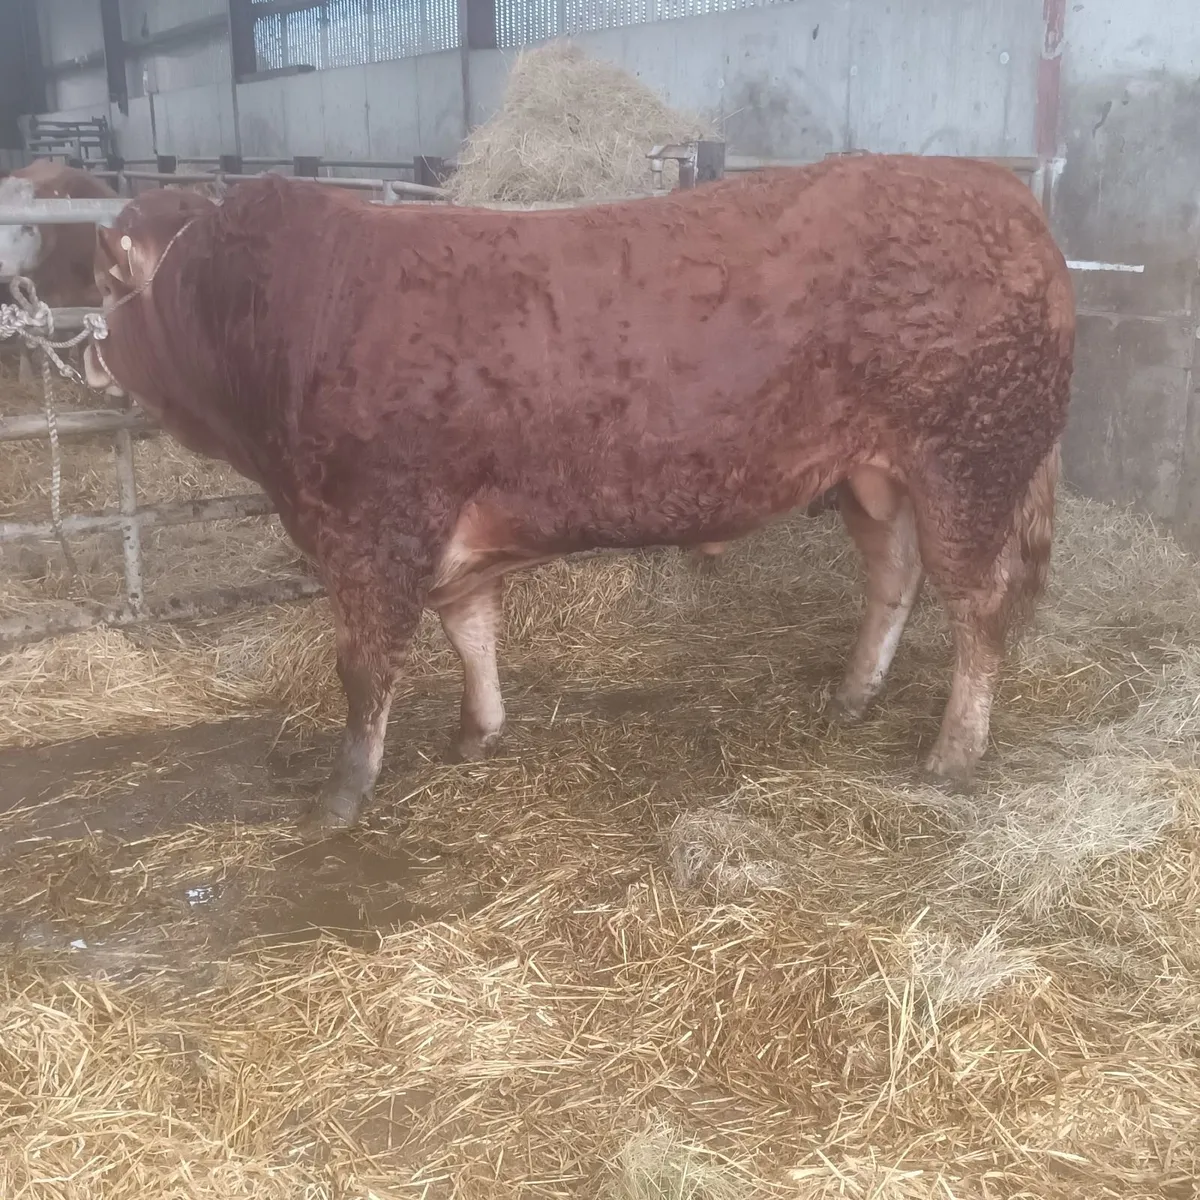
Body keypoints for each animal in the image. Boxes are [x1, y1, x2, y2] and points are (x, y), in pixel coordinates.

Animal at [83, 156, 1075, 832]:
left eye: (104, 278)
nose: (87, 350)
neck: (279, 315)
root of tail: (1008, 195)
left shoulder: (370, 528)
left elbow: (363, 668)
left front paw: (341, 796)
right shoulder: (441, 534)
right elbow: (470, 628)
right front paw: (477, 731)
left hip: (971, 464)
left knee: (982, 606)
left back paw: (953, 752)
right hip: (875, 474)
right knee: (894, 576)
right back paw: (854, 694)